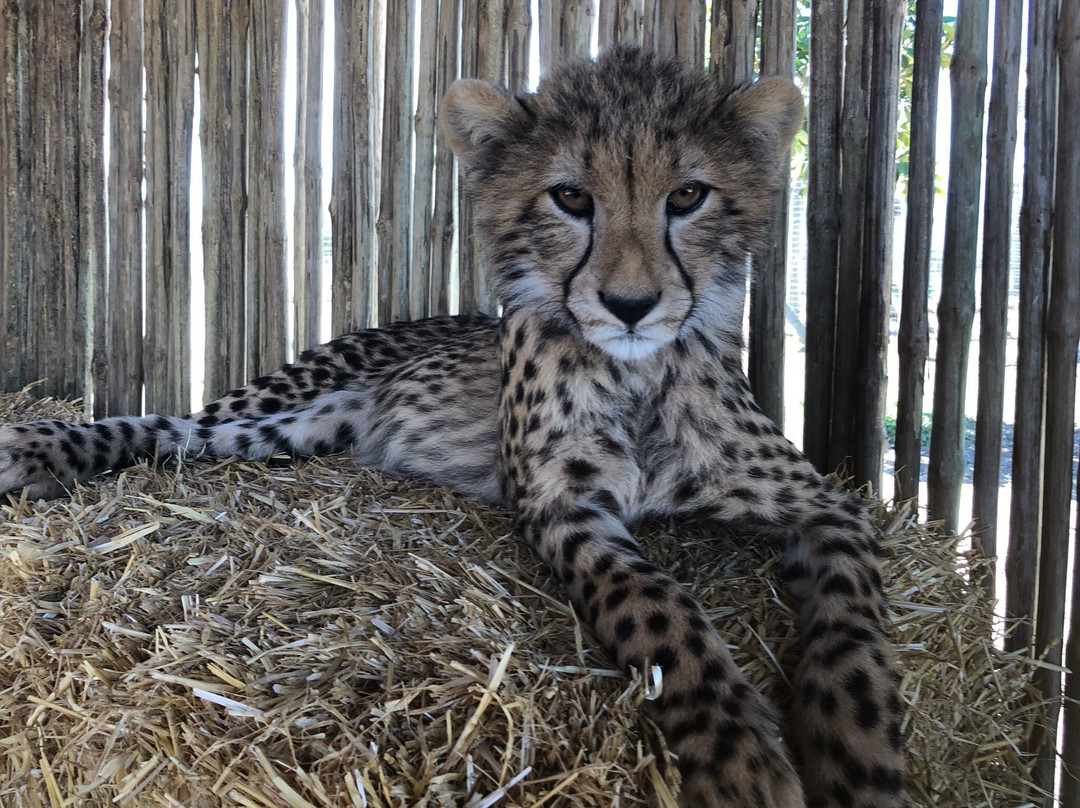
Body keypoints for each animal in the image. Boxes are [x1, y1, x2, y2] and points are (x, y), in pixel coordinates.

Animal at [0, 47, 906, 808]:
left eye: (688, 196)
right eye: (571, 197)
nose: (630, 304)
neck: (640, 378)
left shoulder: (826, 502)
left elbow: (855, 626)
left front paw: (857, 749)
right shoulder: (562, 507)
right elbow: (659, 610)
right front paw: (739, 750)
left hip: (304, 431)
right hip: (277, 403)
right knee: (168, 423)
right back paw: (39, 447)